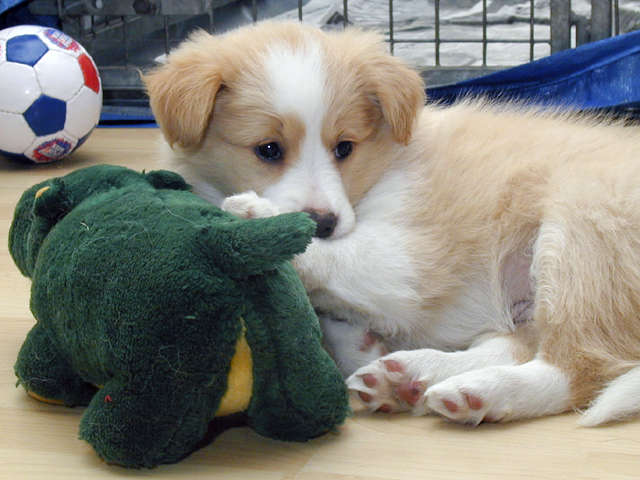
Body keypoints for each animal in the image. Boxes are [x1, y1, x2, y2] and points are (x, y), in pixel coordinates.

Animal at [144, 20, 640, 426]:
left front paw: (260, 221)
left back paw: (482, 391)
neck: (381, 171)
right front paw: (355, 342)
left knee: (579, 368)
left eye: (344, 147)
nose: (323, 221)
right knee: (518, 343)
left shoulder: (409, 258)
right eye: (268, 149)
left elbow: (338, 257)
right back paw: (413, 376)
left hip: (579, 235)